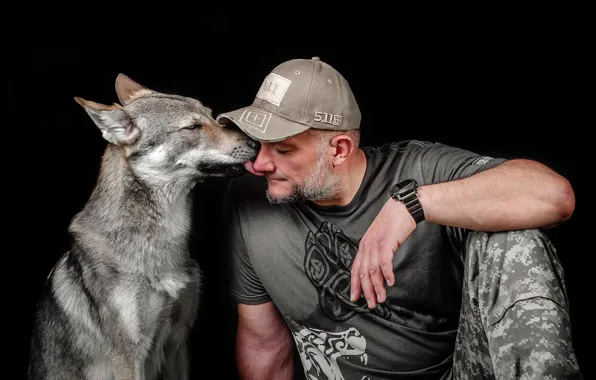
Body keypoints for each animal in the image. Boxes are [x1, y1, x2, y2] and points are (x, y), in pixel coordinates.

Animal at [28, 74, 260, 380]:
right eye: (192, 127)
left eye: (212, 116)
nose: (256, 143)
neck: (160, 243)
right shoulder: (128, 355)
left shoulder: (178, 342)